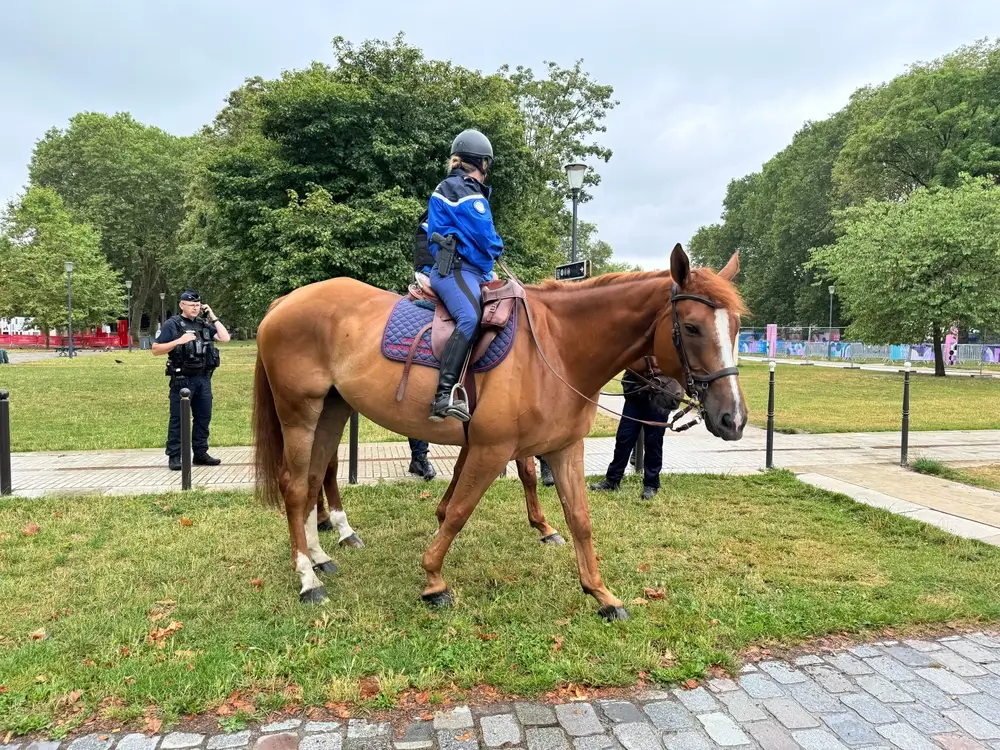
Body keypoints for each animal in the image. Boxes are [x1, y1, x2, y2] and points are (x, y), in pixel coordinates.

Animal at [252, 244, 747, 620]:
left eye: (739, 327)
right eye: (692, 327)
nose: (735, 419)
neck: (556, 347)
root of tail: (284, 302)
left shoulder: (564, 449)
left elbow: (580, 520)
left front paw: (600, 593)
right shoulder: (491, 449)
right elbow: (458, 511)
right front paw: (433, 580)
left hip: (332, 411)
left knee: (314, 478)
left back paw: (321, 555)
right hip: (300, 413)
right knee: (295, 486)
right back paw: (307, 577)